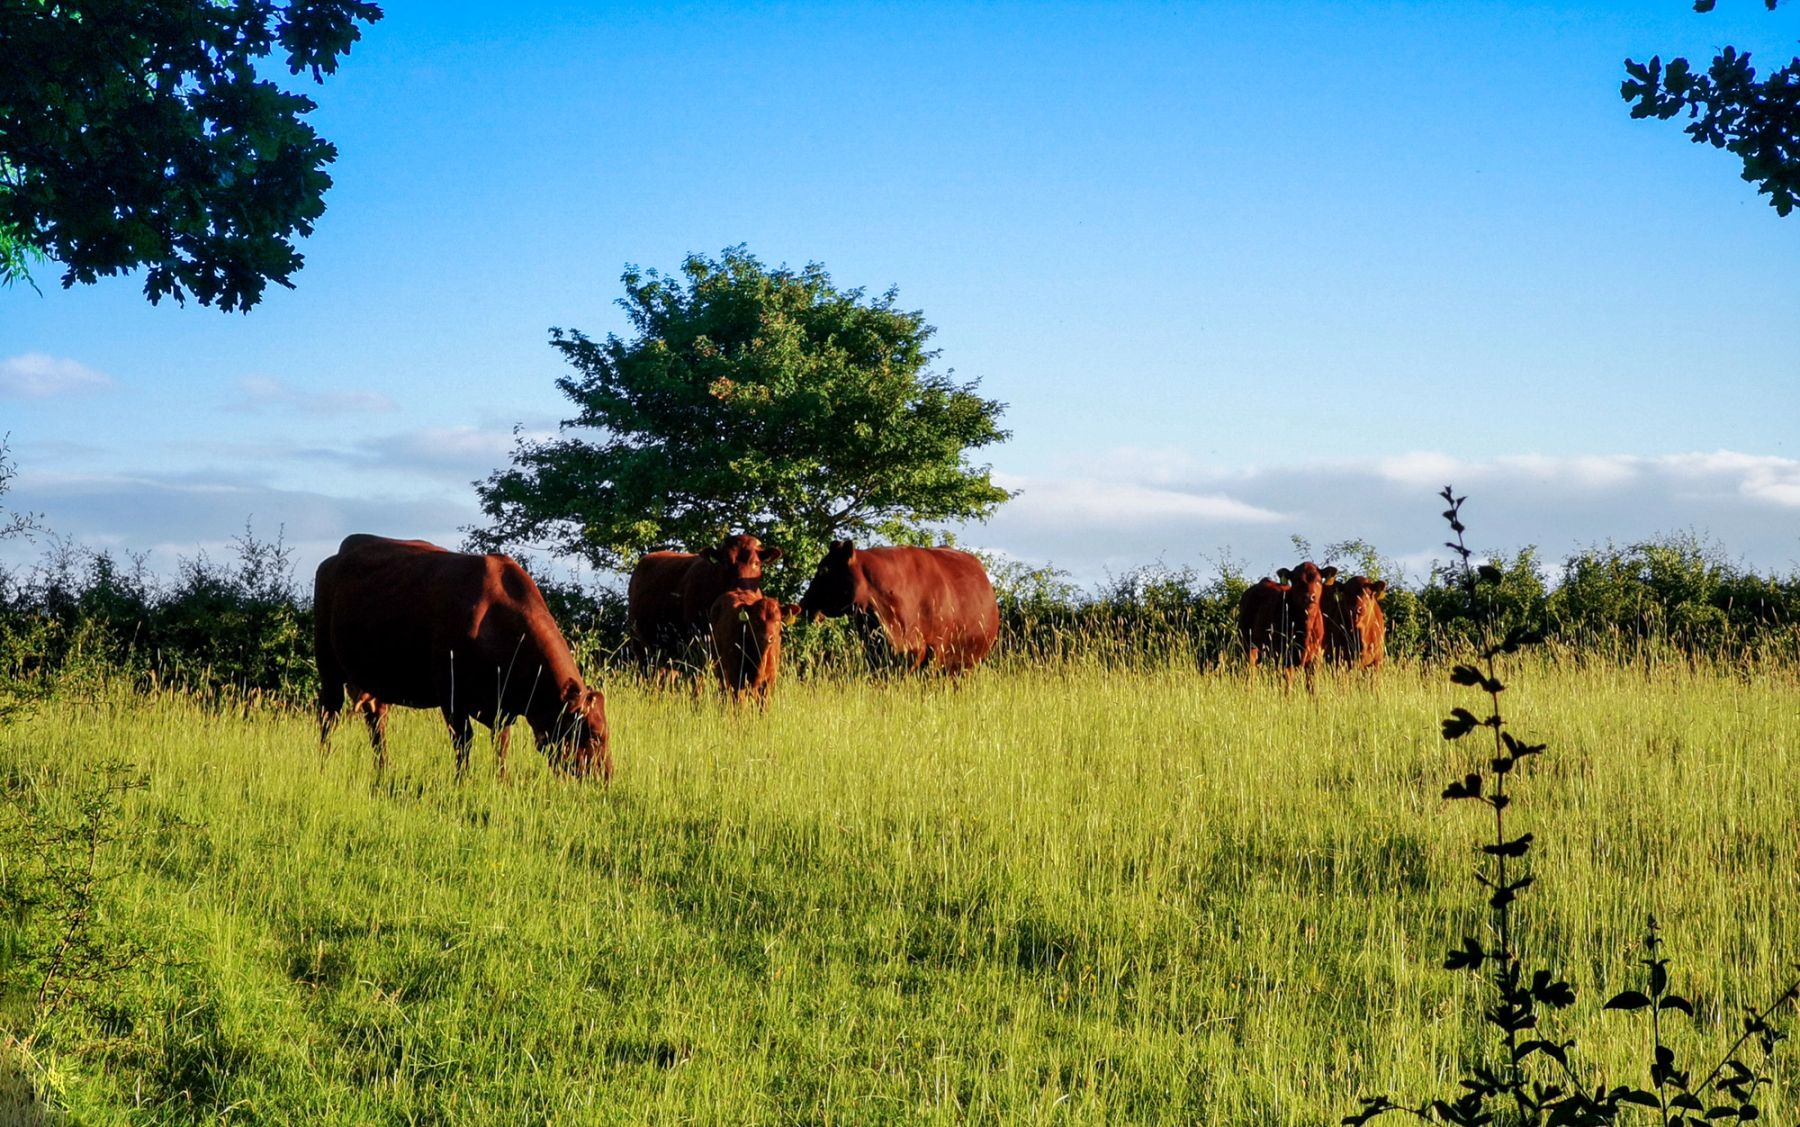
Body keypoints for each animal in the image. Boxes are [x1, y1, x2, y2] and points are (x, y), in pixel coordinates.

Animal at [314, 534, 611, 780]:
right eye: (595, 735)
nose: (606, 776)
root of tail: (334, 558)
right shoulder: (452, 698)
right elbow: (463, 743)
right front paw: (463, 781)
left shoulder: (501, 706)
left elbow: (501, 744)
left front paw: (502, 781)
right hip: (328, 668)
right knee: (329, 716)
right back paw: (324, 764)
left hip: (375, 681)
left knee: (377, 721)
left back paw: (383, 769)